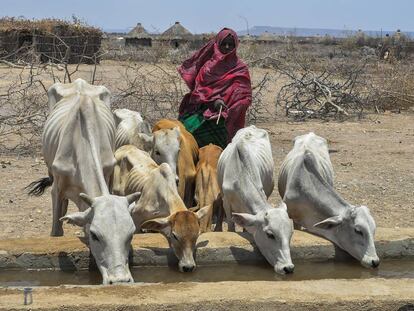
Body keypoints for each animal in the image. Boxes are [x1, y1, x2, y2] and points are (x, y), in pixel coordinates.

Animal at [27, 78, 142, 286]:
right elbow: (56, 231)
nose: (119, 280)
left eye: (130, 234)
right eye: (95, 235)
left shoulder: (107, 173)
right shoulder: (57, 190)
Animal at [217, 125, 294, 274]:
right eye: (270, 235)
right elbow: (231, 227)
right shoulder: (226, 203)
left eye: (291, 233)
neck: (240, 176)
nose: (288, 268)